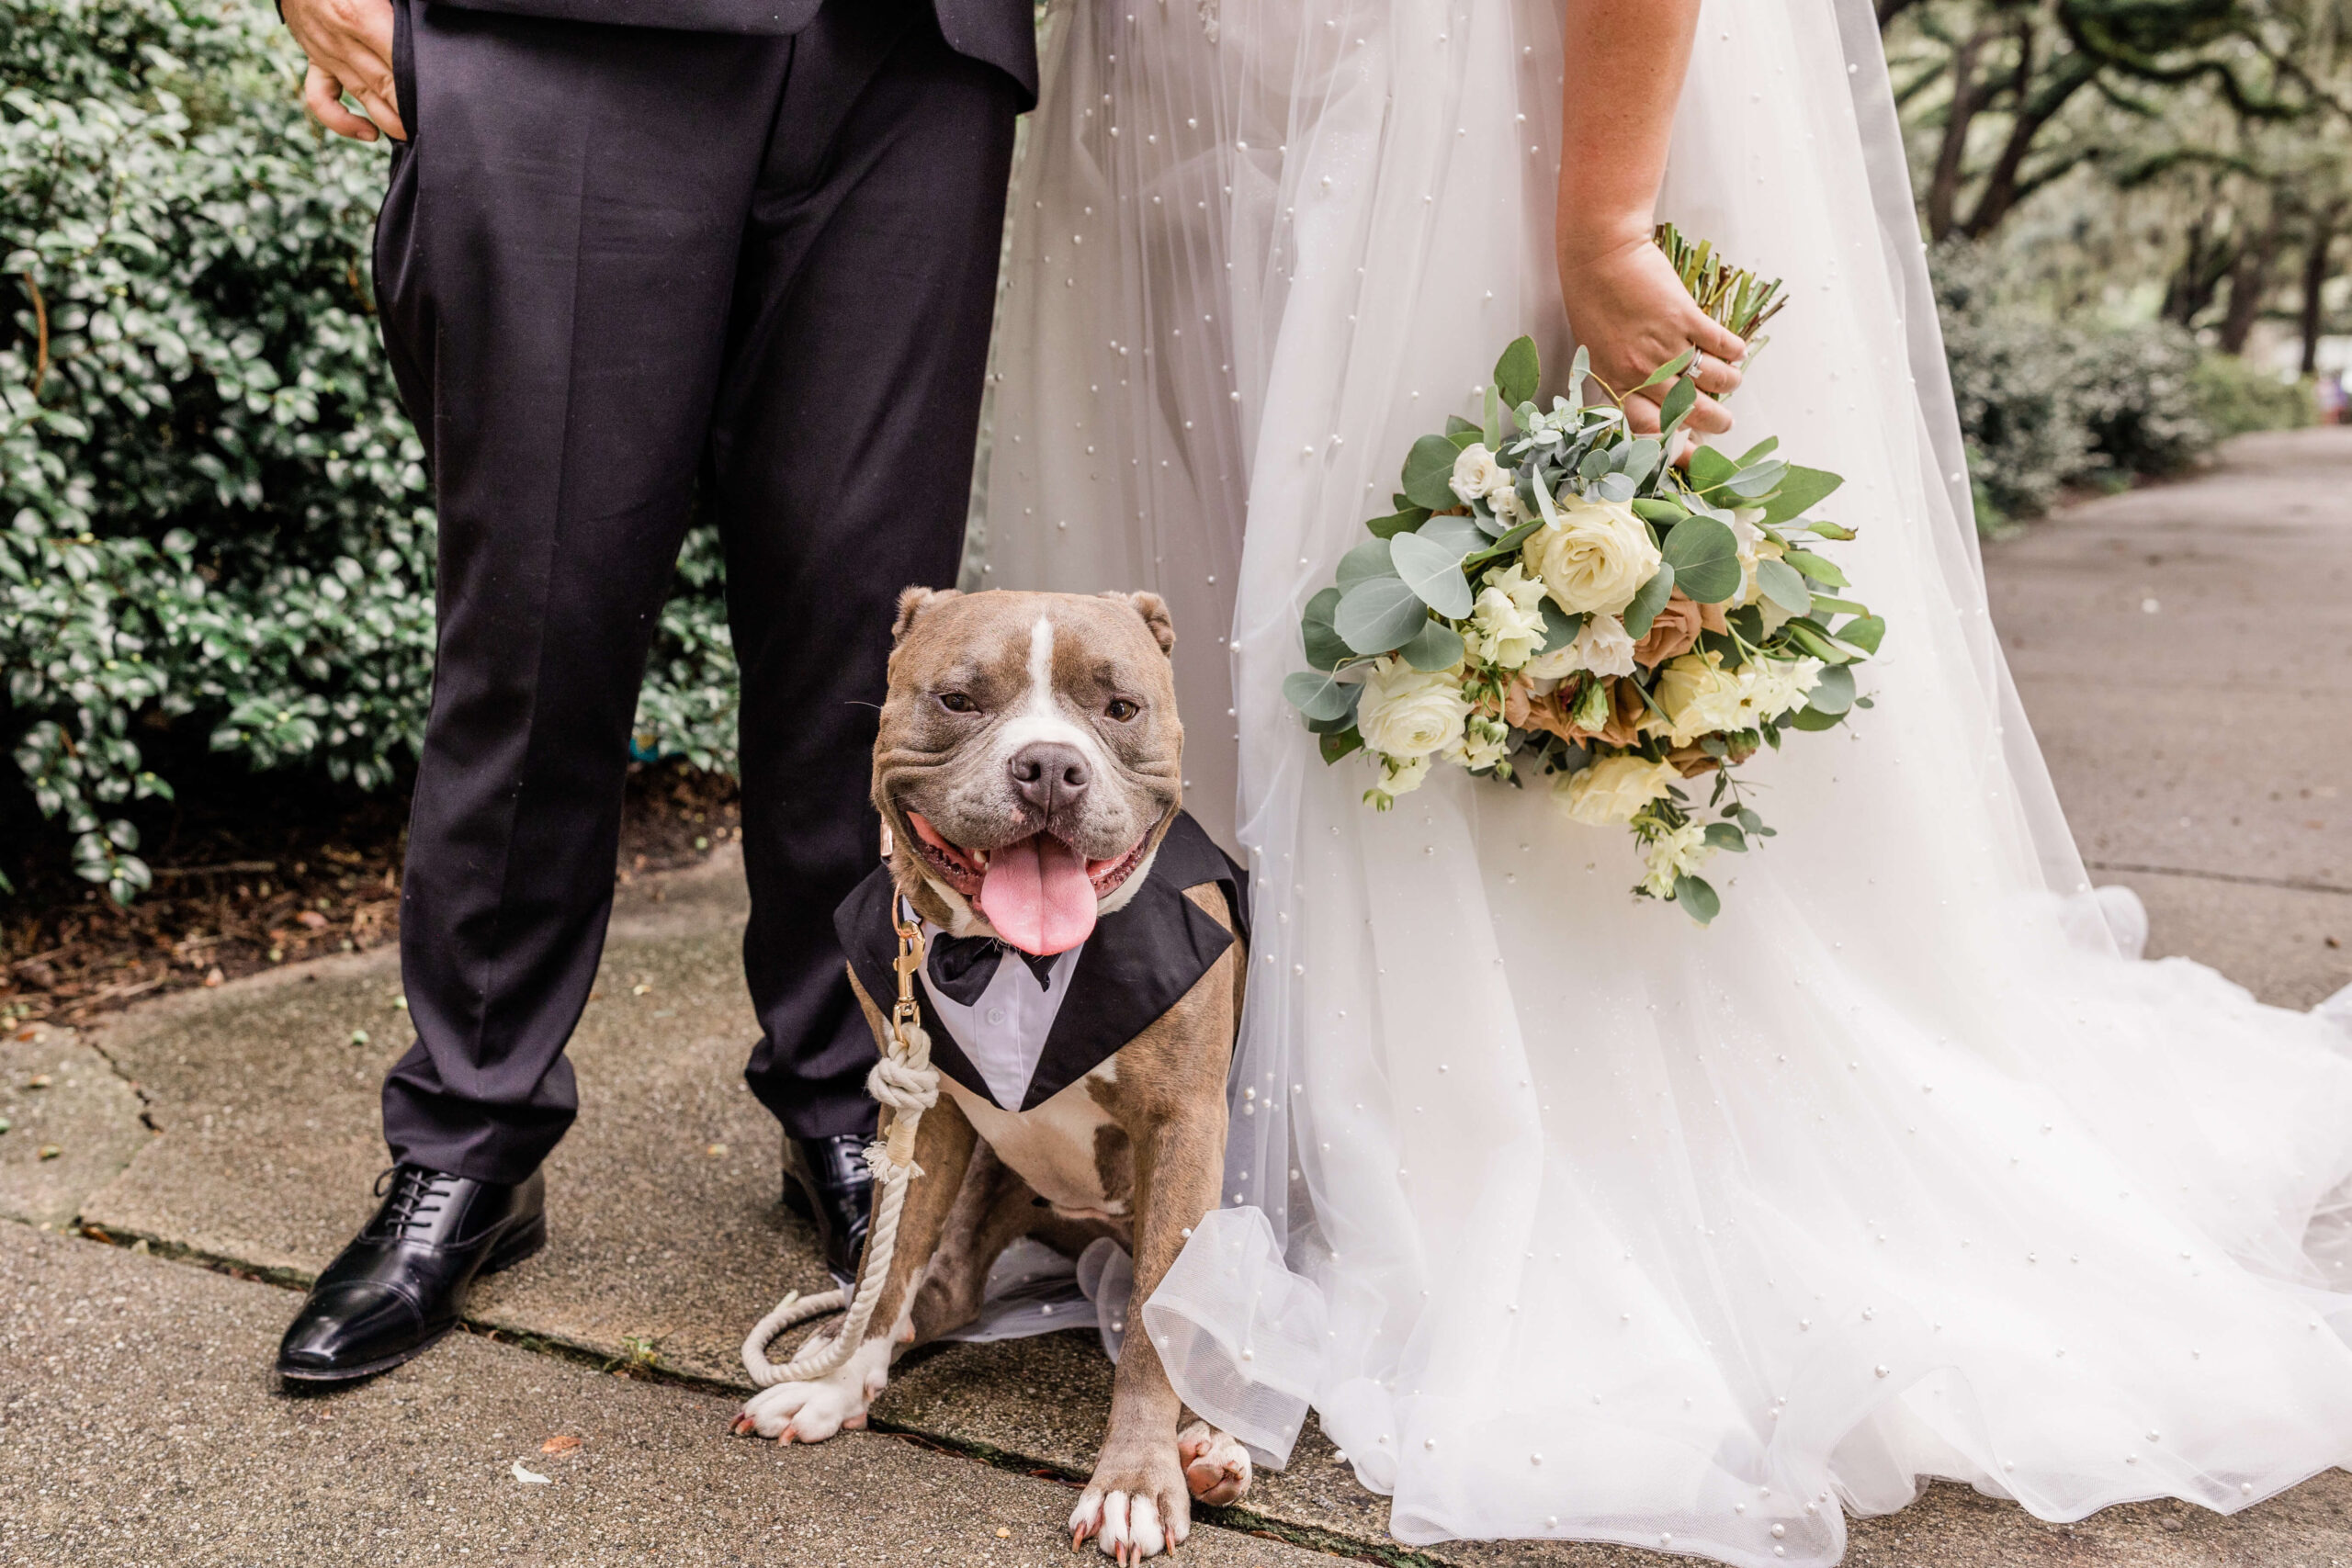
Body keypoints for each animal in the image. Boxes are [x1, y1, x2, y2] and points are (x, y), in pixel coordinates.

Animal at [729, 585, 1250, 1561]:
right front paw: (834, 1383)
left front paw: (1135, 1482)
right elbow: (886, 1263)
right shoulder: (924, 1116)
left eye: (1120, 707)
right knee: (939, 1290)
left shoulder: (1185, 1125)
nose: (1049, 766)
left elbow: (1153, 1326)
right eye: (959, 700)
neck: (1011, 958)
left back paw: (1211, 1448)